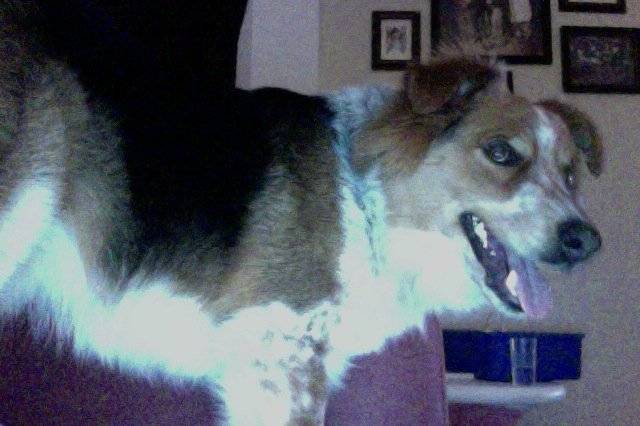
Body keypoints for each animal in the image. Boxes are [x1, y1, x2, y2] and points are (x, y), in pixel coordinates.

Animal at [0, 8, 602, 426]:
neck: (364, 199)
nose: (585, 241)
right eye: (501, 153)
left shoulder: (268, 374)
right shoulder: (281, 356)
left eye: (571, 174)